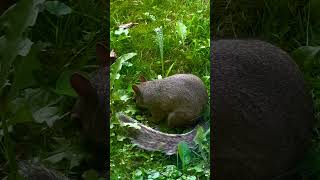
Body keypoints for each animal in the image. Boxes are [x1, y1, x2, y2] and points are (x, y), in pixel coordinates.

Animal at [119, 39, 314, 180]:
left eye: (136, 98)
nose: (133, 102)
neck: (152, 88)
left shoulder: (158, 108)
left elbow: (156, 116)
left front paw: (149, 119)